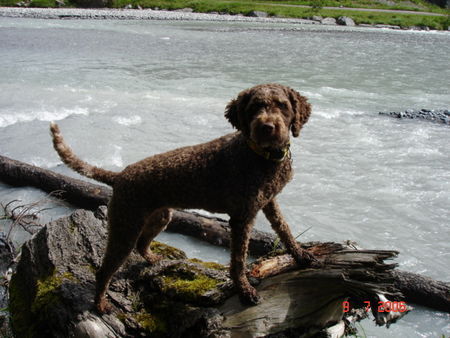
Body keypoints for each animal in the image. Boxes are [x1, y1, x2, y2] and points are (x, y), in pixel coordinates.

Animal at [50, 83, 316, 312]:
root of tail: (119, 175)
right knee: (104, 270)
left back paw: (153, 259)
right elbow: (238, 260)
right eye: (254, 108)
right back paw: (100, 304)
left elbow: (284, 229)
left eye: (282, 105)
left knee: (142, 244)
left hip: (159, 217)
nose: (266, 127)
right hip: (125, 226)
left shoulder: (269, 203)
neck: (260, 155)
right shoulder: (242, 217)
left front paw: (300, 254)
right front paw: (245, 290)